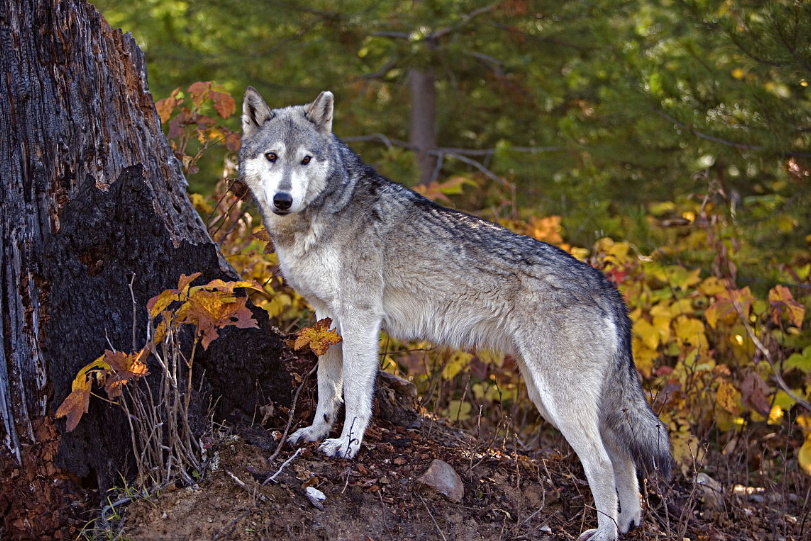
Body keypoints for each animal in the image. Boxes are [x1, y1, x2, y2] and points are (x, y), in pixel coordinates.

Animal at [239, 86, 672, 536]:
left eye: (305, 159)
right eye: (272, 156)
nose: (283, 199)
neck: (323, 214)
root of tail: (607, 286)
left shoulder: (361, 319)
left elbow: (356, 393)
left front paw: (346, 446)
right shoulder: (326, 318)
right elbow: (328, 388)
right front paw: (314, 431)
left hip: (558, 402)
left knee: (602, 462)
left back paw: (605, 533)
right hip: (552, 398)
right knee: (623, 455)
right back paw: (628, 521)